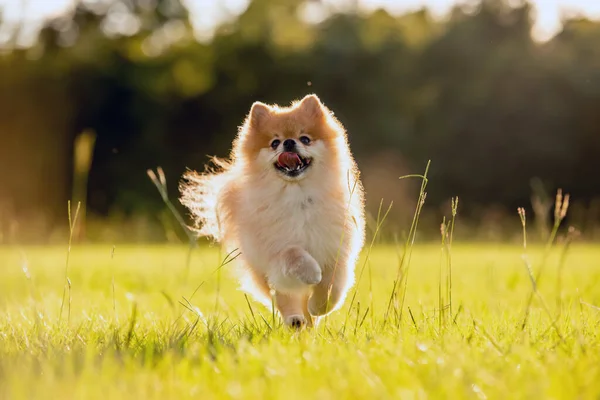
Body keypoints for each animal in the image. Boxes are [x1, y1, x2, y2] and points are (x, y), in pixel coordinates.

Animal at [179, 94, 366, 328]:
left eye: (305, 139)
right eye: (274, 142)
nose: (289, 142)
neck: (297, 197)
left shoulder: (335, 249)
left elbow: (333, 287)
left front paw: (319, 307)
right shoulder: (274, 251)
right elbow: (293, 254)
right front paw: (312, 273)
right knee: (285, 298)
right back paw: (295, 319)